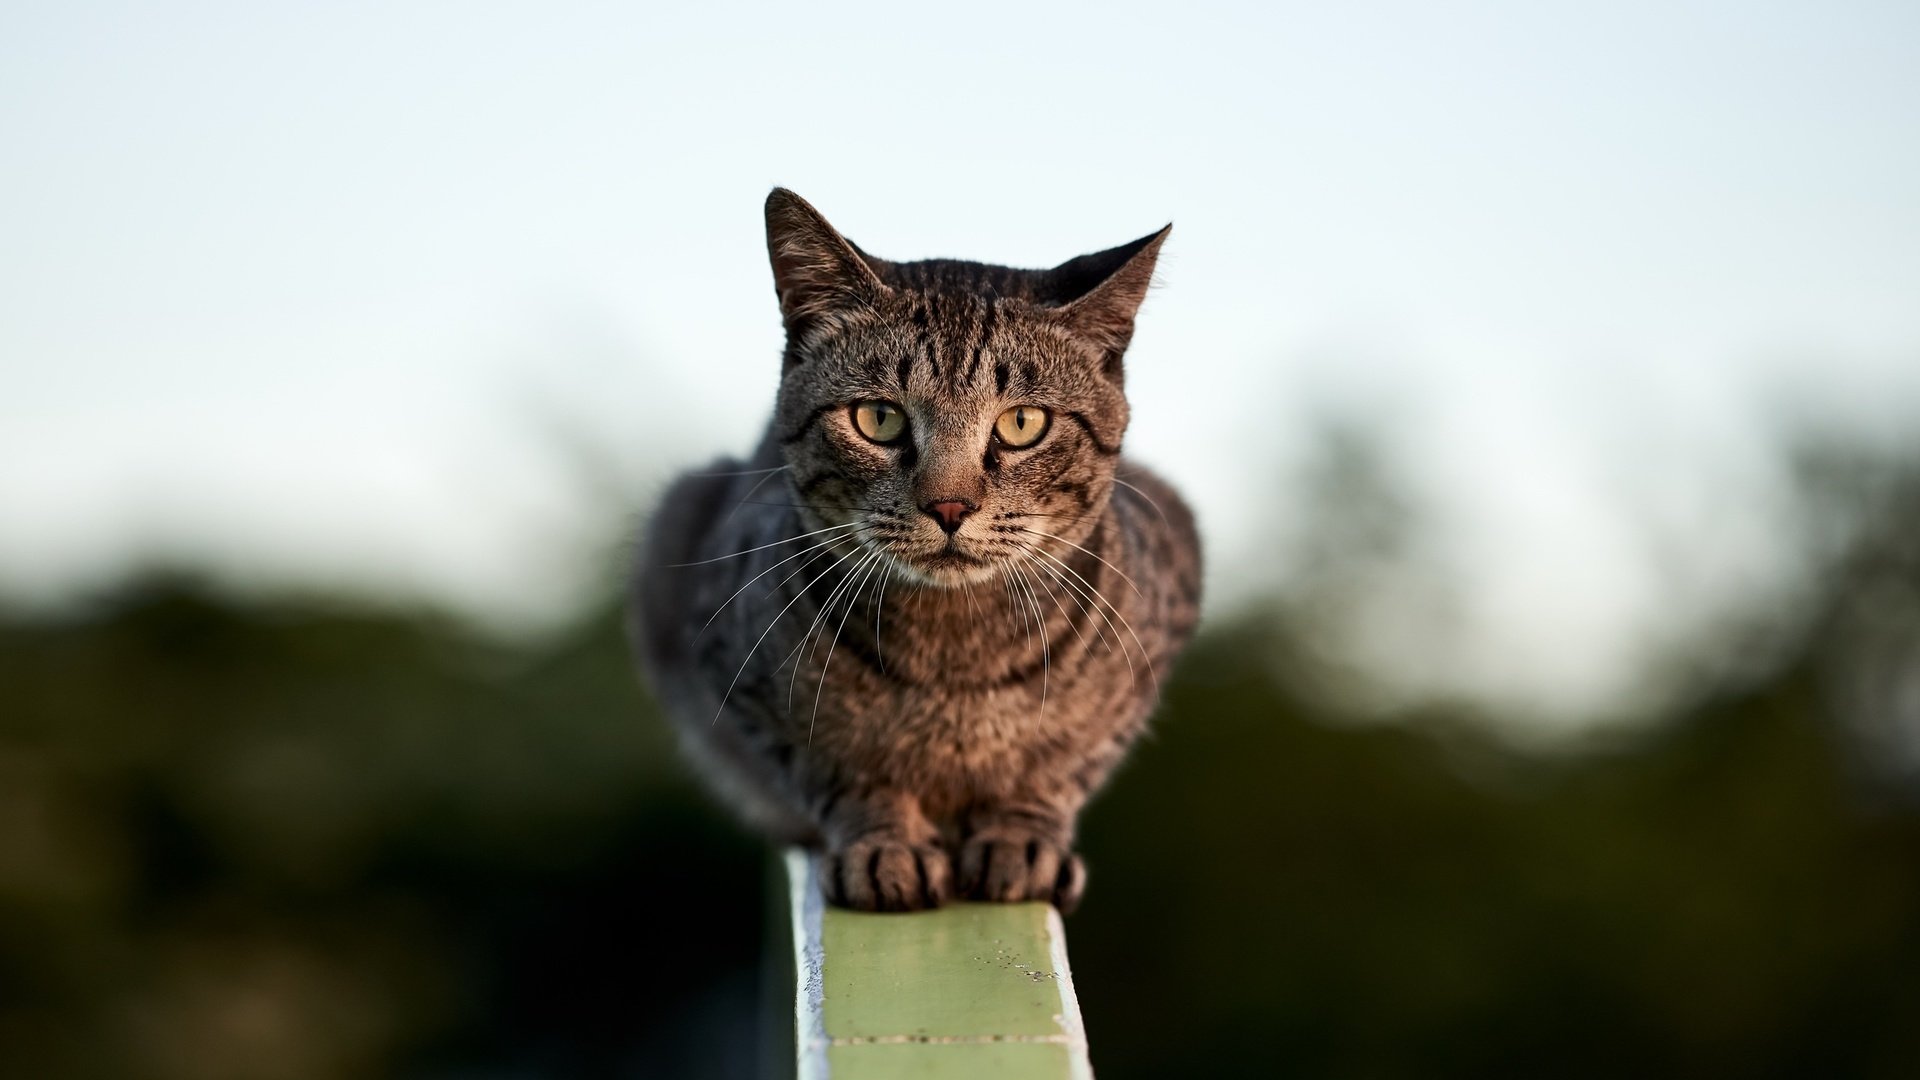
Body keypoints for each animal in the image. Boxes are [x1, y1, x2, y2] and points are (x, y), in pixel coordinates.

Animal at [629, 187, 1198, 907]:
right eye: (879, 418)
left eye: (1022, 423)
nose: (949, 507)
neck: (952, 665)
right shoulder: (739, 677)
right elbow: (839, 771)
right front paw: (884, 844)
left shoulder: (1147, 650)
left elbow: (1059, 771)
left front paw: (1022, 837)